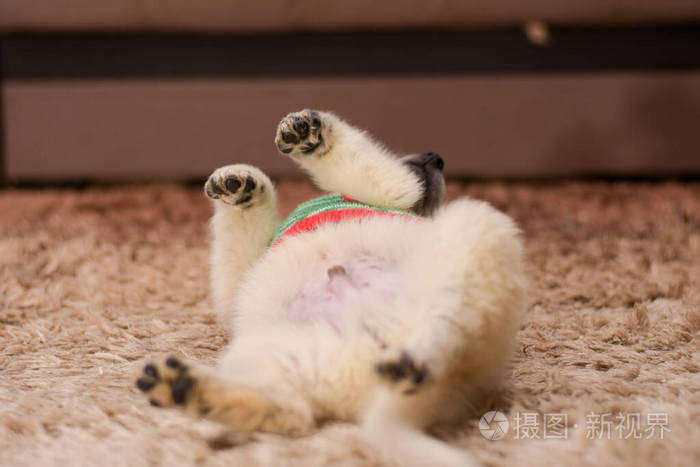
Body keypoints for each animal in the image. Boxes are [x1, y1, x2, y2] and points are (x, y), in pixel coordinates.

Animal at [135, 110, 524, 467]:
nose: (436, 156)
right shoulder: (240, 282)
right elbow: (237, 246)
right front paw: (240, 186)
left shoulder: (393, 188)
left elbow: (369, 163)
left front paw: (310, 135)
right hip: (276, 354)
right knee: (294, 413)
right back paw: (188, 388)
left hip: (474, 233)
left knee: (446, 324)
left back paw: (414, 357)